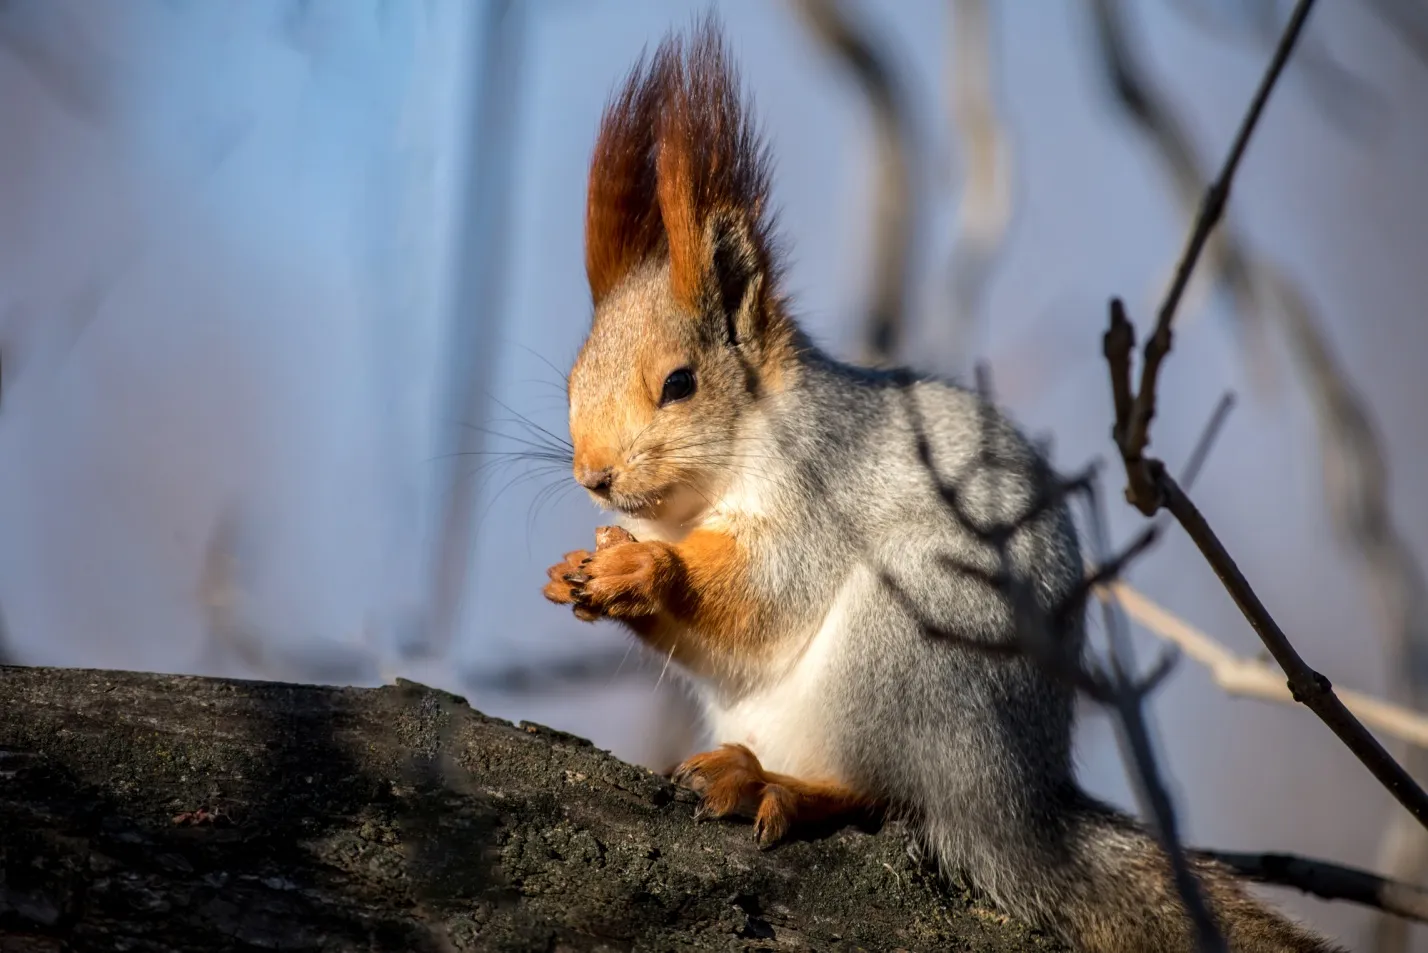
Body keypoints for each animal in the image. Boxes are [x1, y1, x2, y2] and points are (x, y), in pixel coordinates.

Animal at [539, 20, 1342, 953]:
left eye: (679, 383)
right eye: (571, 381)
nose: (594, 476)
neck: (698, 497)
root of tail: (1018, 806)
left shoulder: (821, 485)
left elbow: (768, 594)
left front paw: (646, 571)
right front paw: (577, 573)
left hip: (912, 651)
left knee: (889, 794)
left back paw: (783, 788)